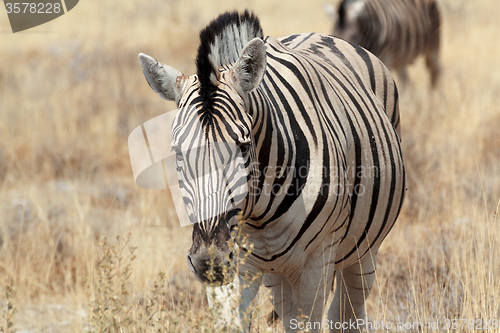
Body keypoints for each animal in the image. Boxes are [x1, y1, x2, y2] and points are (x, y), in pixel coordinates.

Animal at [139, 11, 404, 332]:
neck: (259, 216)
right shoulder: (236, 268)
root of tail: (319, 34)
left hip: (363, 251)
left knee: (346, 314)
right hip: (278, 273)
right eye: (178, 152)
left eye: (243, 147)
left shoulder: (317, 263)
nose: (209, 262)